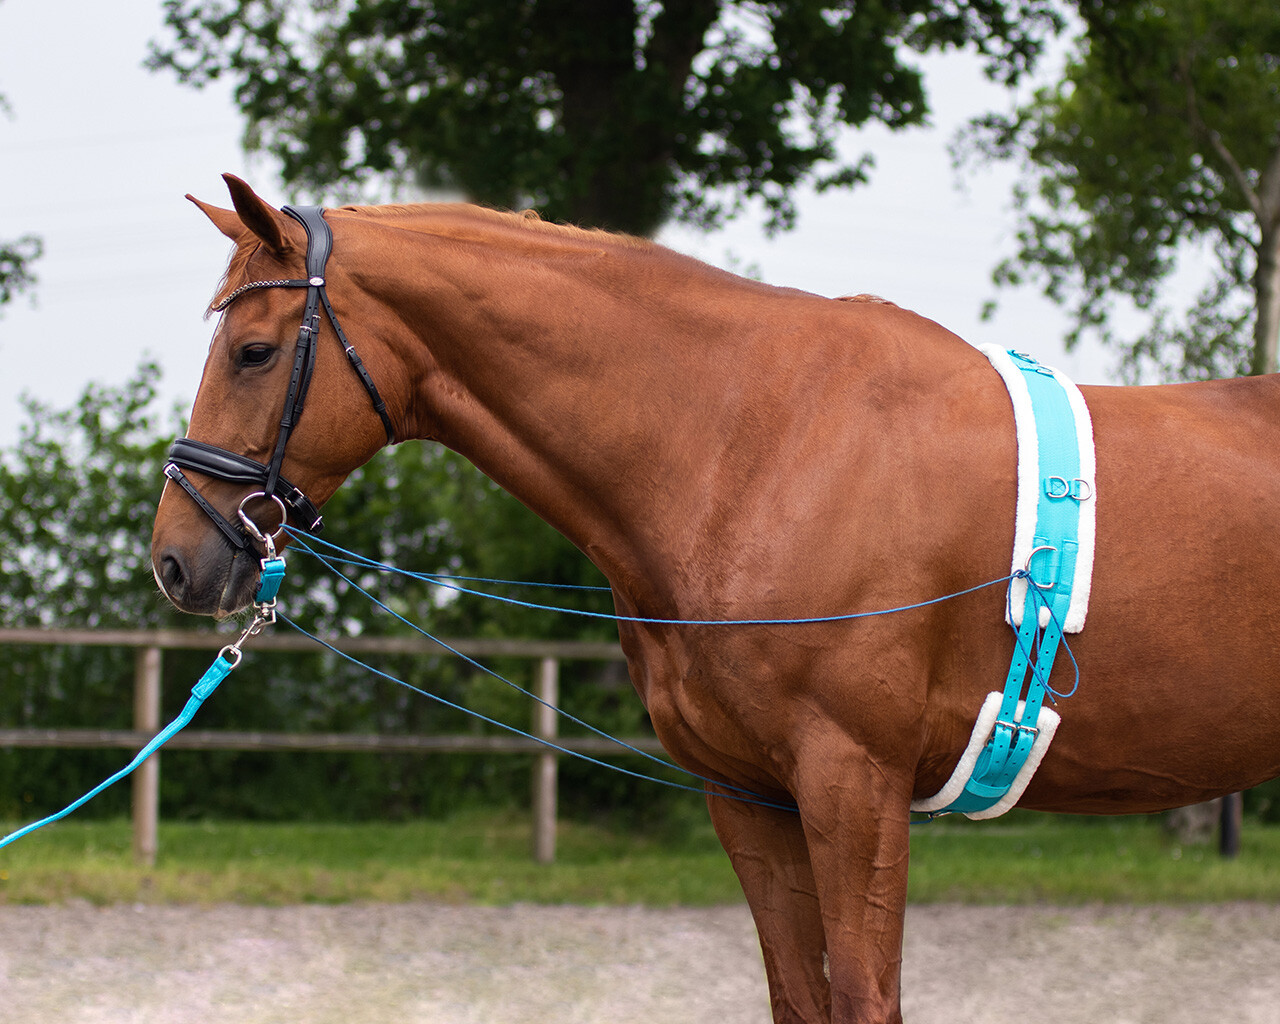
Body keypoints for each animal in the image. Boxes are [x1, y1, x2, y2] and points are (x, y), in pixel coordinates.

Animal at [151, 174, 1280, 1023]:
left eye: (253, 351)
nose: (174, 560)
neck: (753, 442)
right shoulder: (747, 794)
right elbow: (797, 996)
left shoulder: (852, 785)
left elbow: (862, 998)